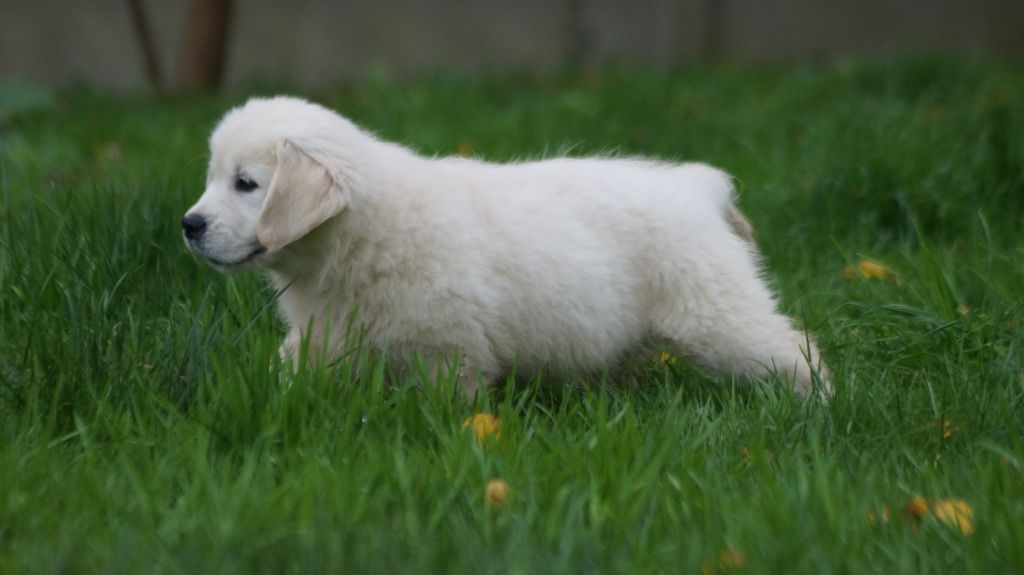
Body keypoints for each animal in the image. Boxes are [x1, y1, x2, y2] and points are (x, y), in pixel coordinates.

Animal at [180, 97, 827, 392]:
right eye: (212, 179)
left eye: (246, 184)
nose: (189, 224)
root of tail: (696, 186)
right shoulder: (325, 333)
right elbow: (291, 368)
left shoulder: (447, 347)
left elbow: (446, 403)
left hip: (714, 311)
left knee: (792, 347)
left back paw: (820, 407)